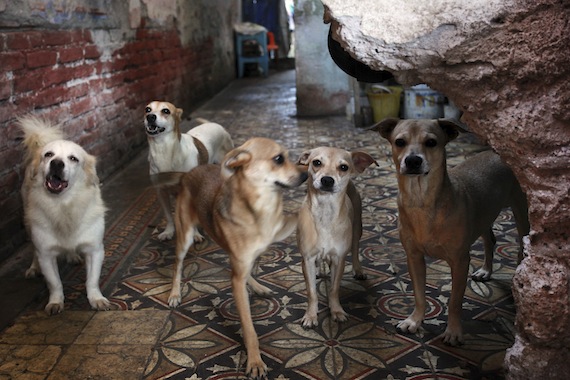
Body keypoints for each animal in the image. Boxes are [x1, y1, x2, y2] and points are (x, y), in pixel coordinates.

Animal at [19, 116, 110, 314]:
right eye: (48, 155)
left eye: (73, 159)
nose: (56, 163)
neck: (63, 206)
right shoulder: (46, 255)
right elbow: (55, 283)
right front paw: (55, 302)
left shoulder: (95, 250)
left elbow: (92, 280)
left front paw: (96, 299)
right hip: (29, 225)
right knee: (33, 249)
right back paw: (33, 267)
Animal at [152, 138, 306, 378]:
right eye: (279, 159)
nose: (307, 175)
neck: (258, 207)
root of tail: (189, 173)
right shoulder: (238, 276)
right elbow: (249, 328)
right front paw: (254, 361)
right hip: (185, 236)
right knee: (178, 265)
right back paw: (175, 293)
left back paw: (257, 285)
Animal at [296, 147, 374, 328]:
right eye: (316, 162)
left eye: (344, 167)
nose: (327, 180)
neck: (325, 211)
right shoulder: (307, 259)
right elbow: (311, 292)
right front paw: (310, 315)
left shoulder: (339, 260)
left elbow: (333, 289)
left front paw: (336, 311)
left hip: (357, 229)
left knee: (355, 250)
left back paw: (358, 270)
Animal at [368, 118, 528, 344]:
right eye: (399, 142)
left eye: (431, 142)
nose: (413, 160)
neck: (421, 201)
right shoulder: (414, 257)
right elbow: (419, 295)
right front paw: (414, 321)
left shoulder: (460, 262)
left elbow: (454, 301)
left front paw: (453, 331)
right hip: (484, 216)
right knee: (490, 240)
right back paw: (486, 270)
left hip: (521, 212)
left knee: (521, 248)